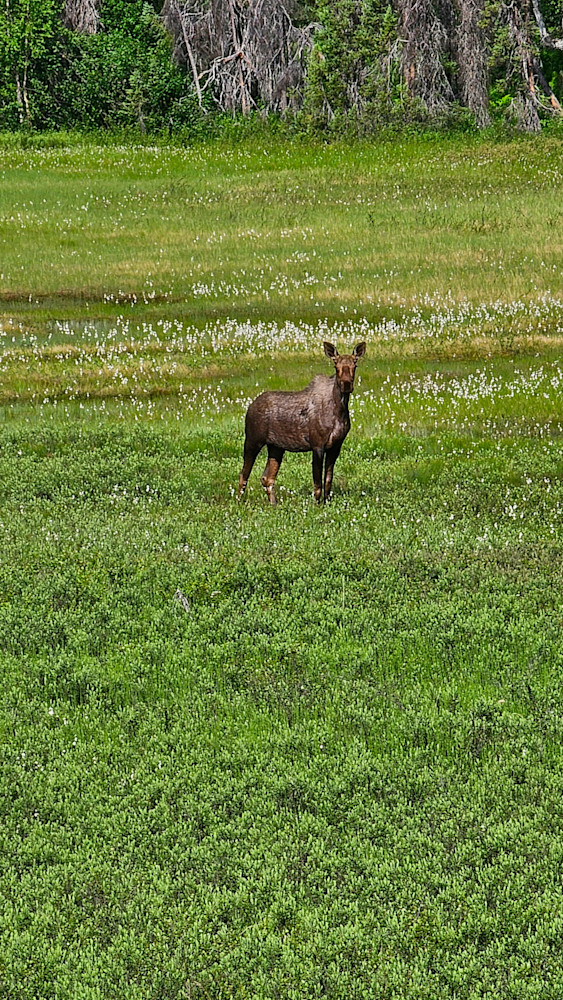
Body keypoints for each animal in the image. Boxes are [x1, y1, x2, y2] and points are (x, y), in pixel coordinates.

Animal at [237, 342, 366, 505]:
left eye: (355, 364)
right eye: (335, 365)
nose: (346, 384)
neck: (340, 410)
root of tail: (250, 406)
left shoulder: (336, 446)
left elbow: (328, 481)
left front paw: (326, 503)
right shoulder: (317, 445)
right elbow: (317, 484)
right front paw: (317, 506)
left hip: (276, 447)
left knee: (267, 478)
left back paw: (274, 505)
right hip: (253, 440)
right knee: (243, 475)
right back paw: (239, 502)